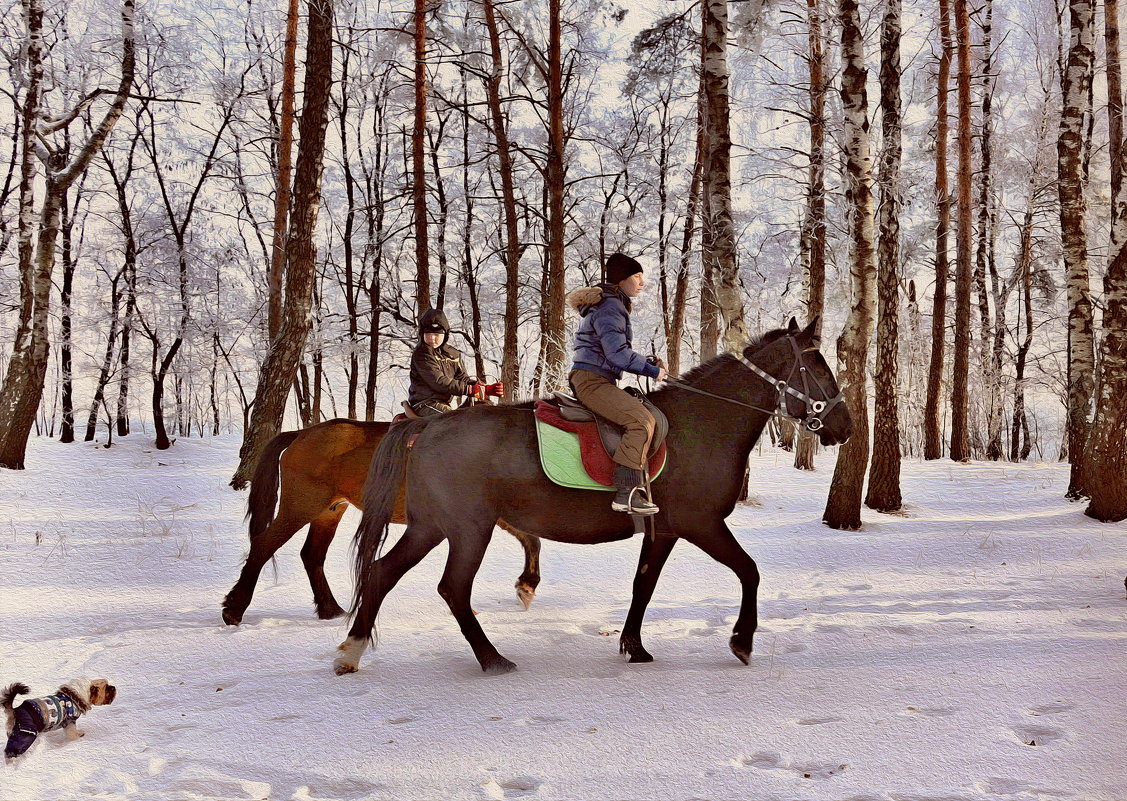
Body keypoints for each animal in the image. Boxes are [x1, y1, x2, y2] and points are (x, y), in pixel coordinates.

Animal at [217, 419, 543, 626]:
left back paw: (329, 609)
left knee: (311, 555)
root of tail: (301, 433)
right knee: (263, 545)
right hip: (301, 506)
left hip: (330, 510)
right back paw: (234, 609)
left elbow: (532, 540)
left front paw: (527, 585)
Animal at [333, 319, 852, 675]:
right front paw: (742, 641)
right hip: (467, 530)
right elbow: (749, 570)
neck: (701, 424)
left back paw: (351, 651)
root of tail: (429, 425)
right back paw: (492, 658)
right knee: (453, 589)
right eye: (819, 367)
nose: (845, 427)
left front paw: (634, 647)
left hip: (430, 527)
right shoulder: (701, 524)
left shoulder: (663, 530)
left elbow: (644, 586)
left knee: (381, 573)